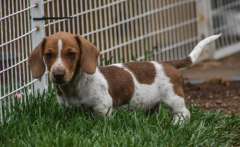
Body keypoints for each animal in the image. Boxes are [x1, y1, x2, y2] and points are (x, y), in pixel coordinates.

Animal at [28, 32, 221, 124]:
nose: (58, 74)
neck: (75, 86)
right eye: (48, 55)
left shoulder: (103, 108)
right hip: (151, 104)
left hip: (173, 98)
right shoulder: (68, 109)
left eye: (71, 54)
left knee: (184, 113)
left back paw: (177, 124)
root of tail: (167, 63)